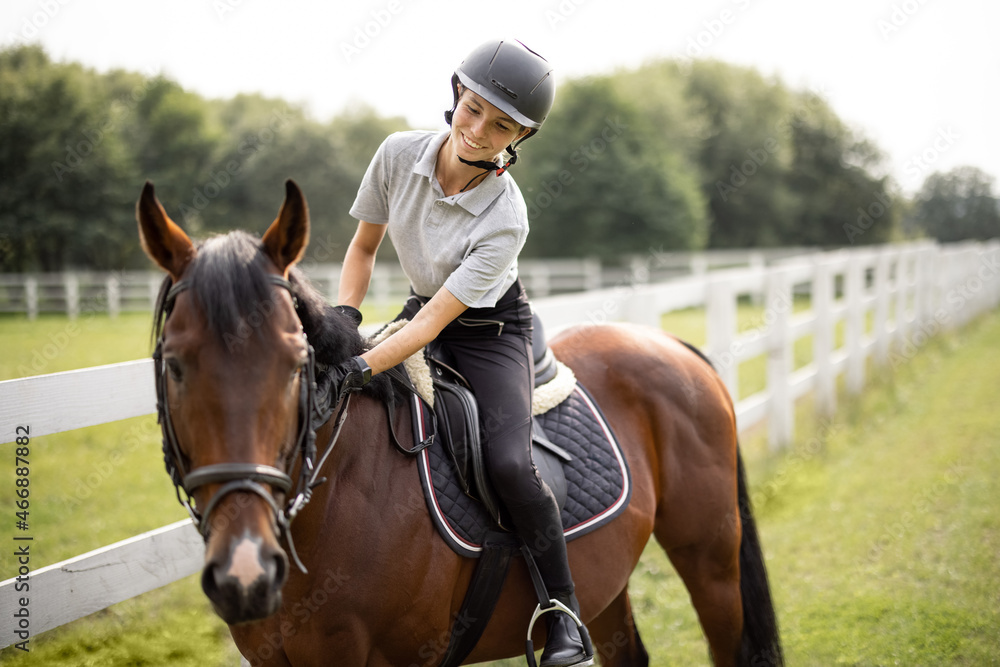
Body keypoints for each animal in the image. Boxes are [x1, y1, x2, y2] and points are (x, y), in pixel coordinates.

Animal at [139, 180, 780, 664]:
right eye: (174, 363)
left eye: (297, 362)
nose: (244, 573)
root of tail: (670, 343)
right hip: (610, 579)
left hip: (710, 555)